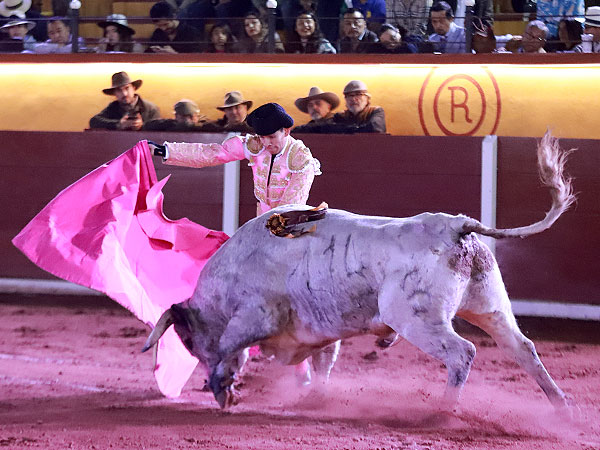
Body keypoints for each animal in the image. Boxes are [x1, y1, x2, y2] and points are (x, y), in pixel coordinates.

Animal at [142, 134, 576, 414]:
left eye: (187, 340)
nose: (208, 383)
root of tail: (456, 226)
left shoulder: (255, 315)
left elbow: (231, 345)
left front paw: (222, 389)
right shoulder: (317, 326)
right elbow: (323, 362)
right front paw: (314, 399)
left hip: (416, 319)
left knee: (462, 352)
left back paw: (441, 413)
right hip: (490, 305)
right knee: (523, 348)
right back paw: (563, 410)